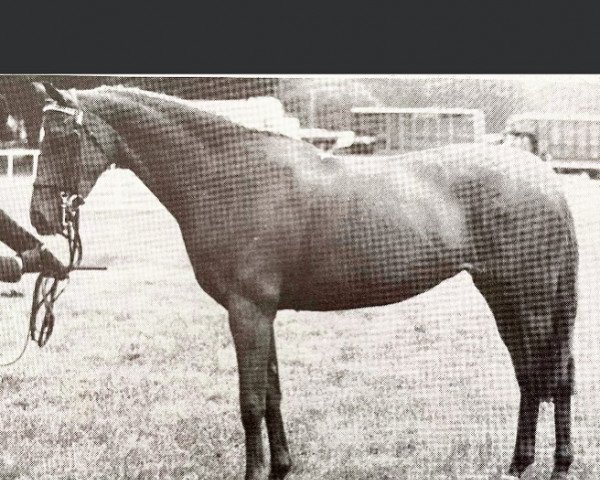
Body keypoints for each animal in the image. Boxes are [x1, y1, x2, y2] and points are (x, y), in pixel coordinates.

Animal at [28, 83, 576, 480]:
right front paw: (280, 469)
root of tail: (542, 175)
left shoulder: (247, 311)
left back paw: (554, 465)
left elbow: (250, 402)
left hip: (529, 298)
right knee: (533, 373)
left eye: (62, 137)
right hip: (502, 295)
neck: (232, 181)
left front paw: (254, 474)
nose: (39, 216)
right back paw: (521, 464)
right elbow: (272, 393)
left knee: (553, 374)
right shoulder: (260, 312)